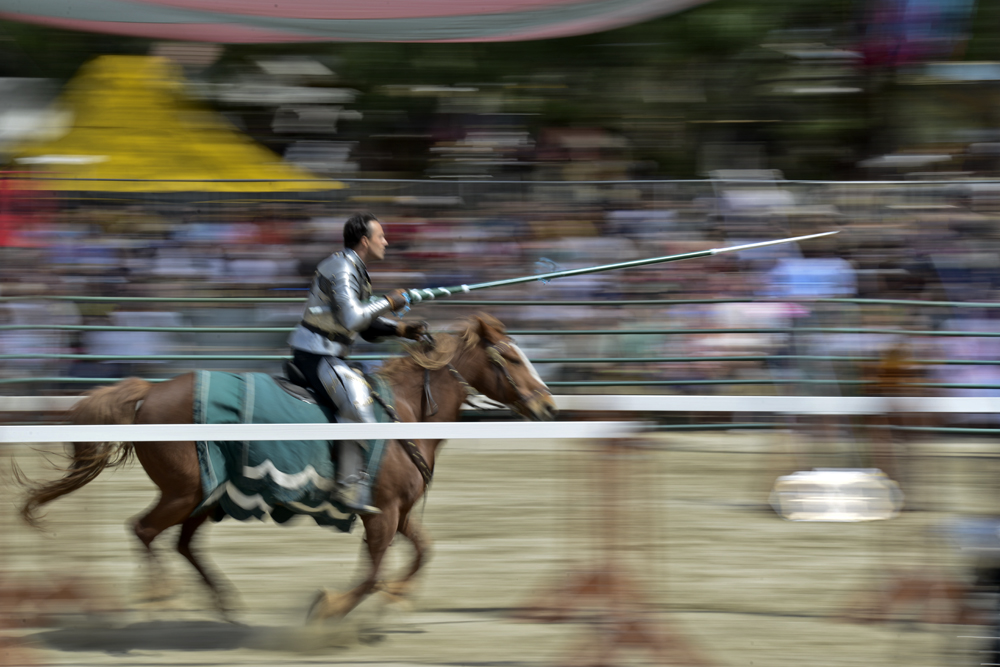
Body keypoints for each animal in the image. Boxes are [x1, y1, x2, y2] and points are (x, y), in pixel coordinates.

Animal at [17, 314, 556, 620]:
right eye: (510, 357)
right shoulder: (381, 514)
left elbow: (422, 553)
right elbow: (370, 576)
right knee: (144, 531)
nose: (546, 405)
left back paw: (225, 605)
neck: (404, 410)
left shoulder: (398, 512)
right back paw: (163, 598)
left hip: (204, 495)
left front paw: (397, 597)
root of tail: (149, 391)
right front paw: (330, 611)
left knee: (181, 544)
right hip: (184, 493)